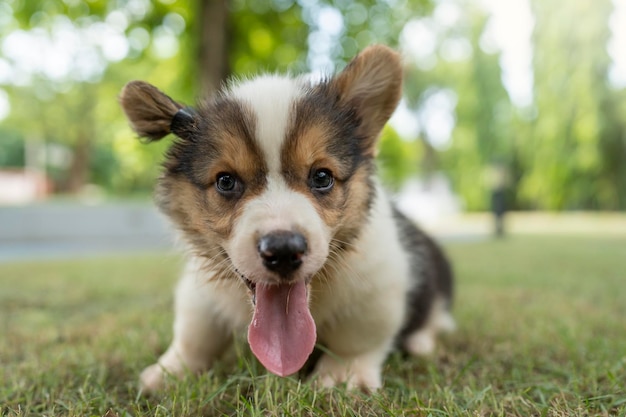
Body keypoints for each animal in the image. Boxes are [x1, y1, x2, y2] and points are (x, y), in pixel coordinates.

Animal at [119, 44, 450, 390]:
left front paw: (343, 376)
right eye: (225, 181)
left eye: (322, 176)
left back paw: (422, 342)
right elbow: (196, 332)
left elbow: (358, 338)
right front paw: (170, 370)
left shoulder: (379, 283)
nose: (283, 251)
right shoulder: (200, 290)